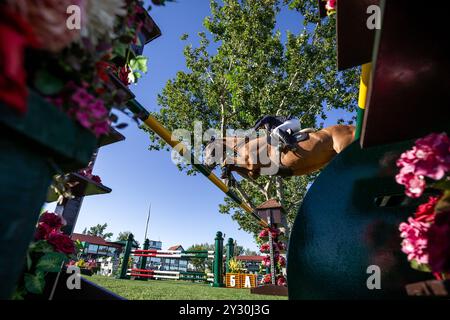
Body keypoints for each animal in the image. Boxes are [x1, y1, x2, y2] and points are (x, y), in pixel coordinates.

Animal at [204, 124, 356, 179]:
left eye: (209, 150)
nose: (207, 165)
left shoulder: (250, 164)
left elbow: (227, 160)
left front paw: (224, 169)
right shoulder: (254, 172)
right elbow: (234, 166)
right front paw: (226, 173)